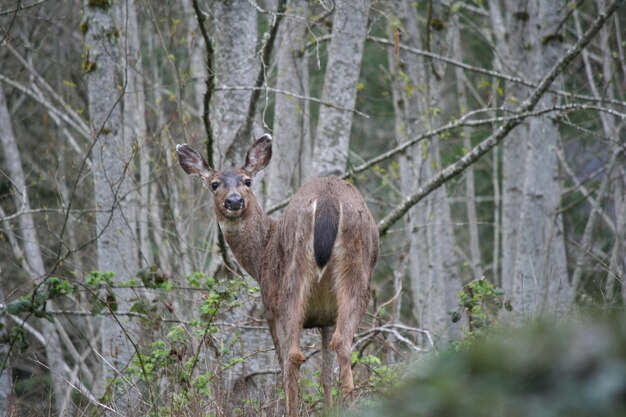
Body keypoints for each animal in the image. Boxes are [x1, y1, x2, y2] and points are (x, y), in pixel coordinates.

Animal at [176, 135, 378, 414]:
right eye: (214, 184)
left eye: (247, 180)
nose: (234, 201)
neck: (261, 252)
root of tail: (328, 201)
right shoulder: (326, 318)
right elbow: (326, 376)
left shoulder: (270, 307)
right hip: (357, 272)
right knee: (343, 344)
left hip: (291, 280)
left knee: (293, 356)